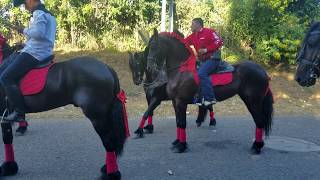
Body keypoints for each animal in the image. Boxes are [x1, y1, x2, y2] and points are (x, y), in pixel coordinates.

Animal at [0, 45, 128, 180]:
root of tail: (107, 68)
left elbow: (6, 138)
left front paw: (7, 168)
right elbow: (8, 138)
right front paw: (10, 167)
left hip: (97, 117)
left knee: (108, 141)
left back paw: (111, 174)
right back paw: (107, 168)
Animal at [146, 29, 274, 153]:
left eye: (154, 46)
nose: (149, 67)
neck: (182, 70)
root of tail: (263, 72)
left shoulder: (181, 102)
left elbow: (182, 123)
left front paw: (182, 146)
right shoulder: (175, 102)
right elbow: (178, 122)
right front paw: (178, 142)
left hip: (253, 101)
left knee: (259, 121)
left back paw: (257, 147)